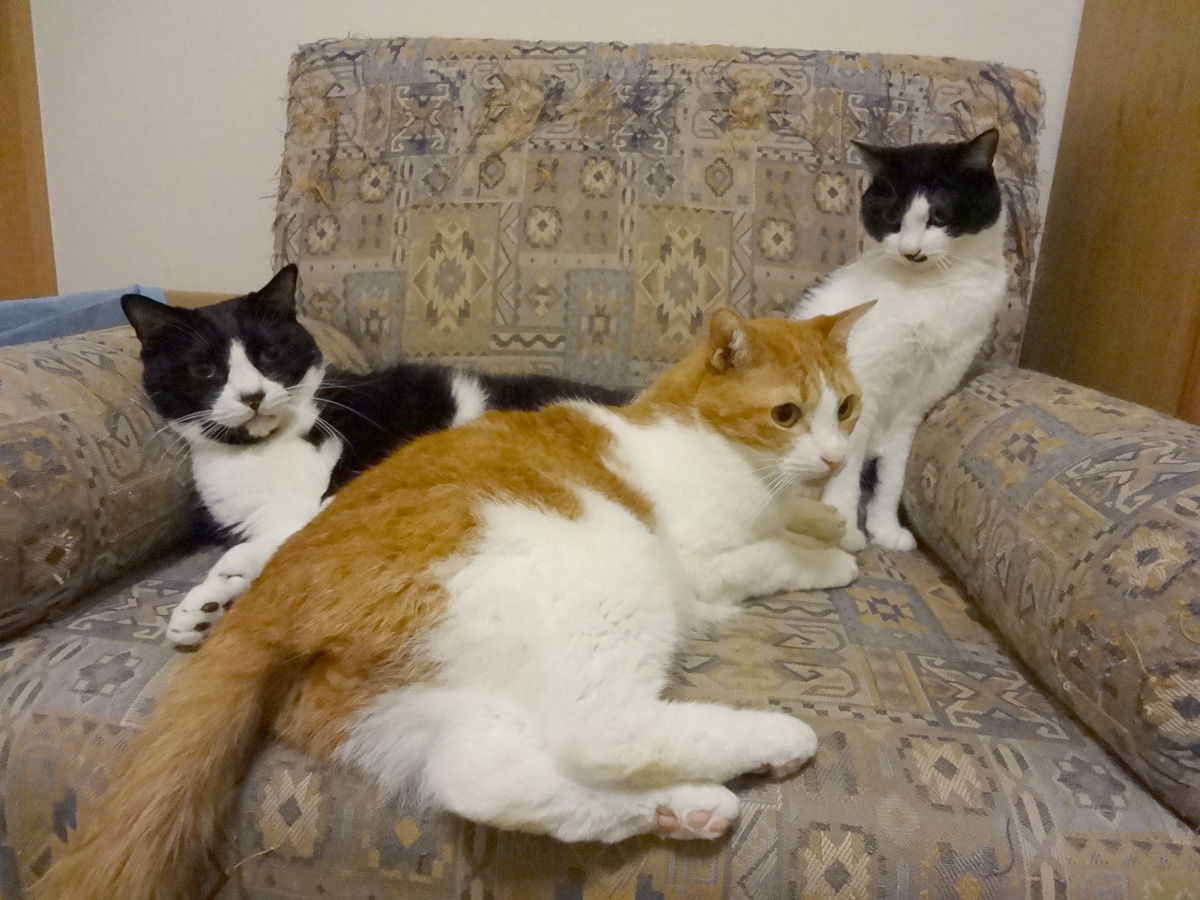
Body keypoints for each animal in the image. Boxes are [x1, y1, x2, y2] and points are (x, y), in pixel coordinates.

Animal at [35, 303, 872, 900]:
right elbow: (773, 555)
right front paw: (830, 553)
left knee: (480, 776)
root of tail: (283, 585)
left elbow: (795, 520)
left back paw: (686, 807)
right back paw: (772, 740)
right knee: (597, 734)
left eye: (848, 409)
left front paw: (835, 522)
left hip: (417, 697)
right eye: (787, 415)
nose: (838, 458)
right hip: (600, 569)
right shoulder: (702, 563)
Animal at [121, 264, 633, 648]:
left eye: (268, 353)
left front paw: (217, 586)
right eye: (205, 369)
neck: (269, 446)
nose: (252, 396)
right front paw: (209, 607)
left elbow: (307, 524)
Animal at [791, 128, 1007, 551]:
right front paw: (847, 530)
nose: (910, 250)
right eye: (892, 217)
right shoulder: (862, 387)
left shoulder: (919, 401)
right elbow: (846, 463)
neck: (935, 287)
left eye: (940, 215)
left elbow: (893, 473)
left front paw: (885, 529)